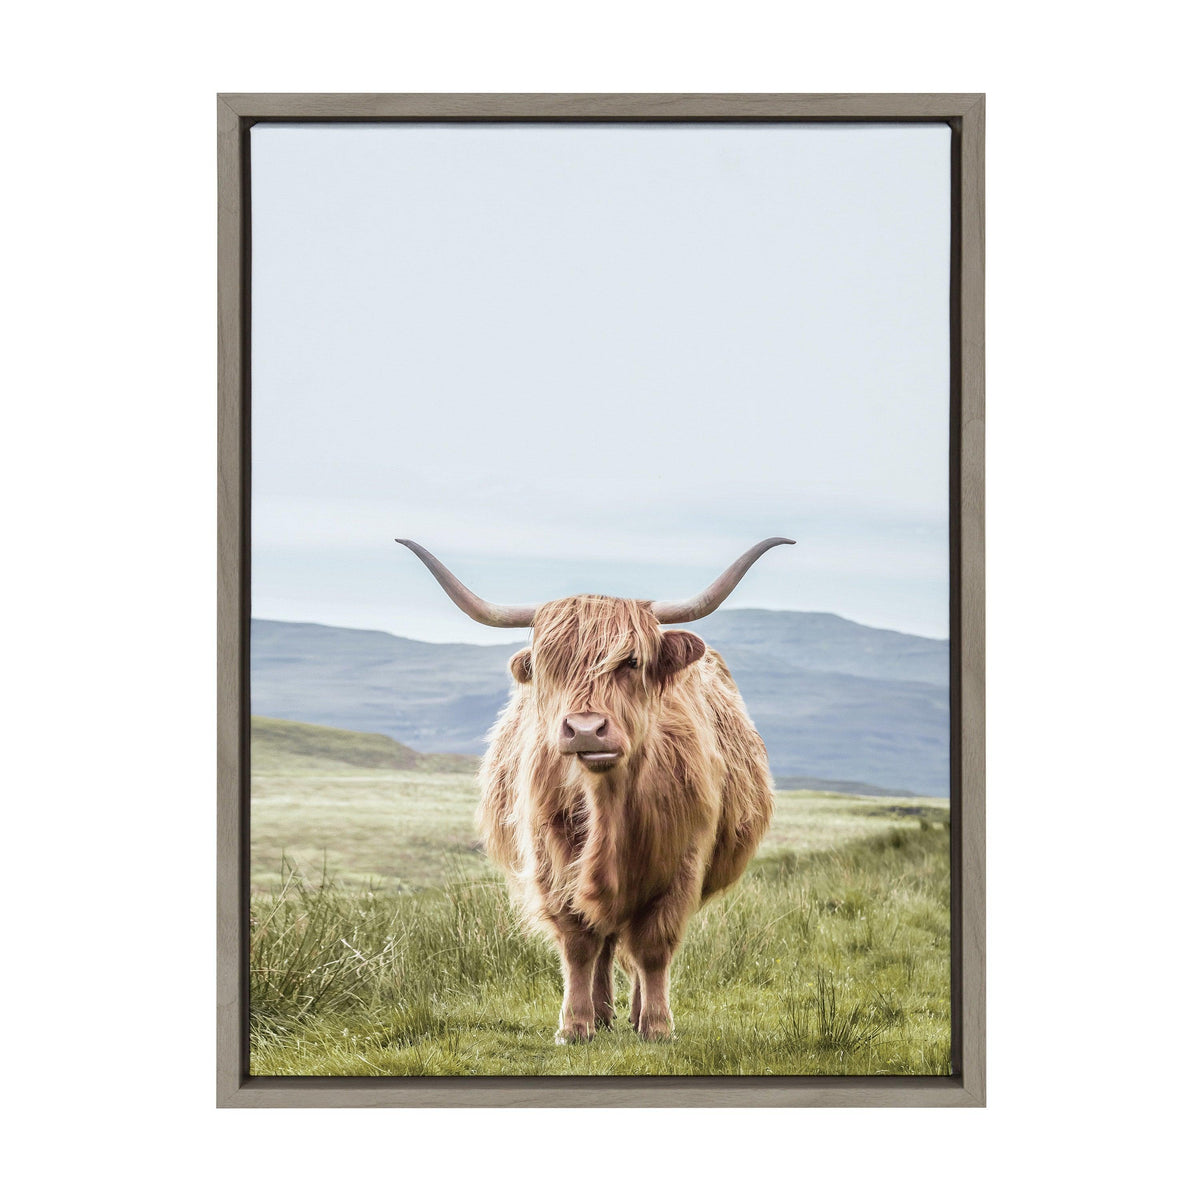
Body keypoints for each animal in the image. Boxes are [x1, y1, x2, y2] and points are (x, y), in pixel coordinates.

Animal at [396, 537, 792, 1043]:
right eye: (551, 666)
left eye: (631, 662)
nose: (585, 729)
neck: (609, 805)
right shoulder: (551, 859)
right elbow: (579, 941)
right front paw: (575, 1025)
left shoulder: (682, 863)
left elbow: (653, 946)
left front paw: (657, 1026)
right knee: (603, 939)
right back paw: (602, 1013)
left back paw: (636, 1013)